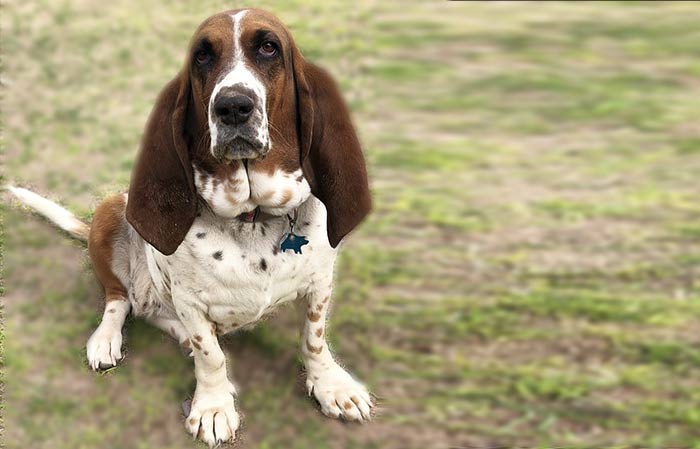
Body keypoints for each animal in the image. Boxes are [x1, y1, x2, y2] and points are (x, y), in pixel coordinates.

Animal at [8, 8, 374, 446]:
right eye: (203, 55)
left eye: (269, 47)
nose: (233, 106)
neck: (252, 217)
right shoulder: (190, 303)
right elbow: (210, 355)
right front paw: (213, 406)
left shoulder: (320, 284)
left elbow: (314, 340)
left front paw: (331, 386)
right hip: (113, 209)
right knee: (121, 298)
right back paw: (107, 339)